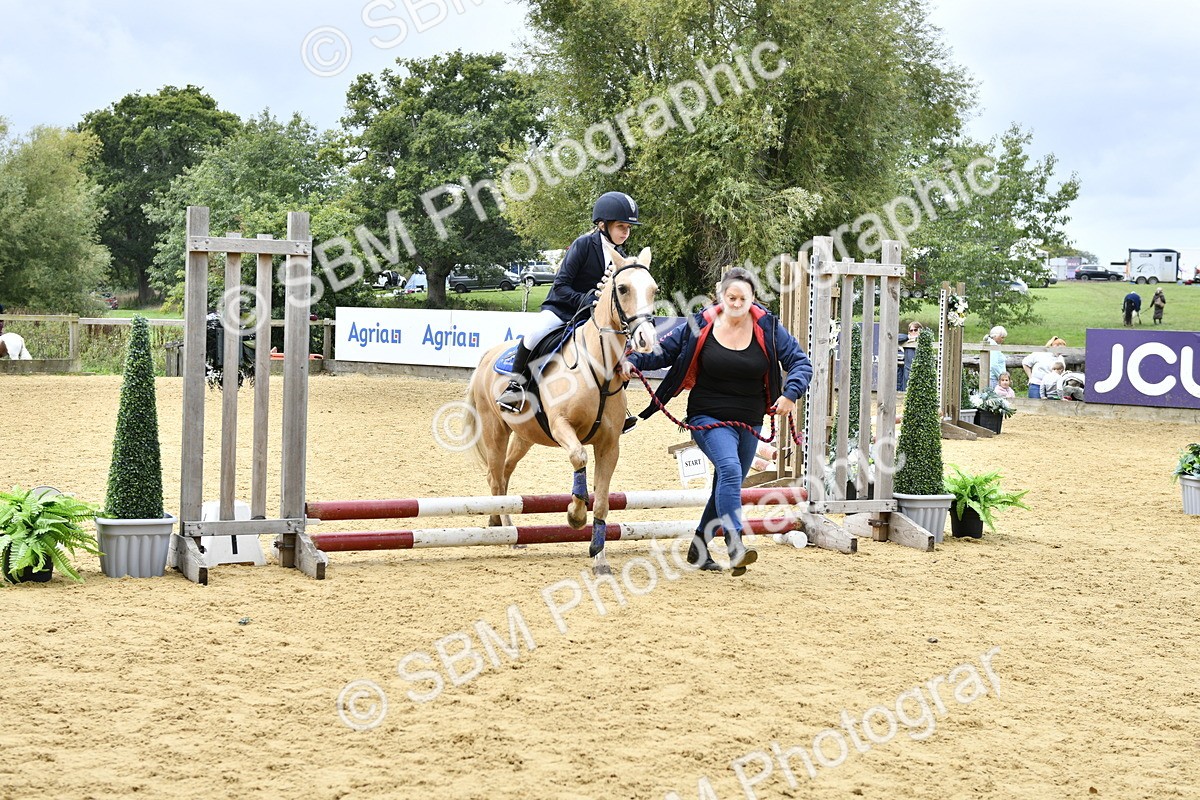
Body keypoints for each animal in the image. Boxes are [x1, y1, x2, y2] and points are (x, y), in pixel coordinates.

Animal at [463, 248, 659, 574]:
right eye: (622, 289)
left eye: (654, 290)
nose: (646, 339)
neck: (598, 367)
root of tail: (488, 355)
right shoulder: (561, 426)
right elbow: (579, 459)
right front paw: (575, 516)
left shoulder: (609, 445)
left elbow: (602, 500)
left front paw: (599, 557)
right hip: (495, 430)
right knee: (495, 477)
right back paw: (509, 531)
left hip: (524, 436)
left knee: (504, 472)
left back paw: (496, 521)